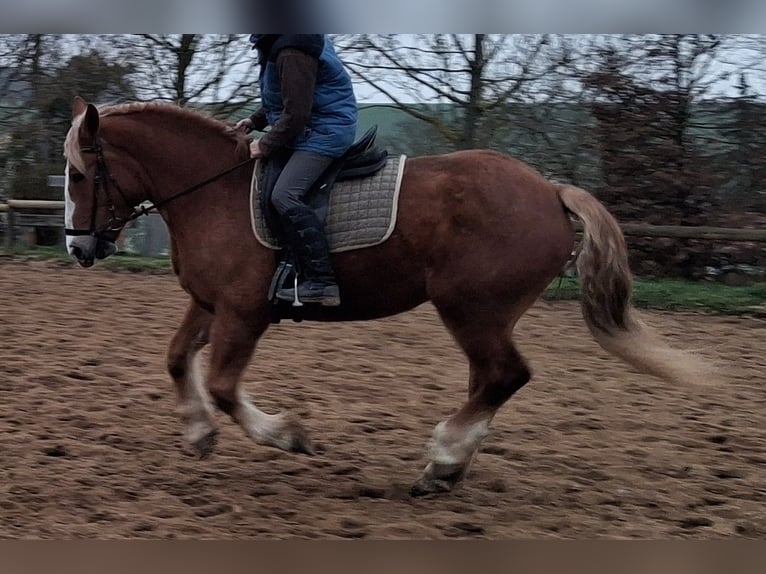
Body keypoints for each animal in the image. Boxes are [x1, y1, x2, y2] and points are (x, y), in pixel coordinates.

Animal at [62, 96, 708, 496]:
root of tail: (549, 190)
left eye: (76, 174)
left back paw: (443, 458)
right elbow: (177, 359)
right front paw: (198, 434)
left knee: (505, 376)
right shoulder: (210, 303)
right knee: (489, 380)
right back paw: (447, 469)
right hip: (482, 316)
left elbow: (223, 387)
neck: (212, 193)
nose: (78, 247)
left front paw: (288, 435)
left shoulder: (244, 313)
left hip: (471, 309)